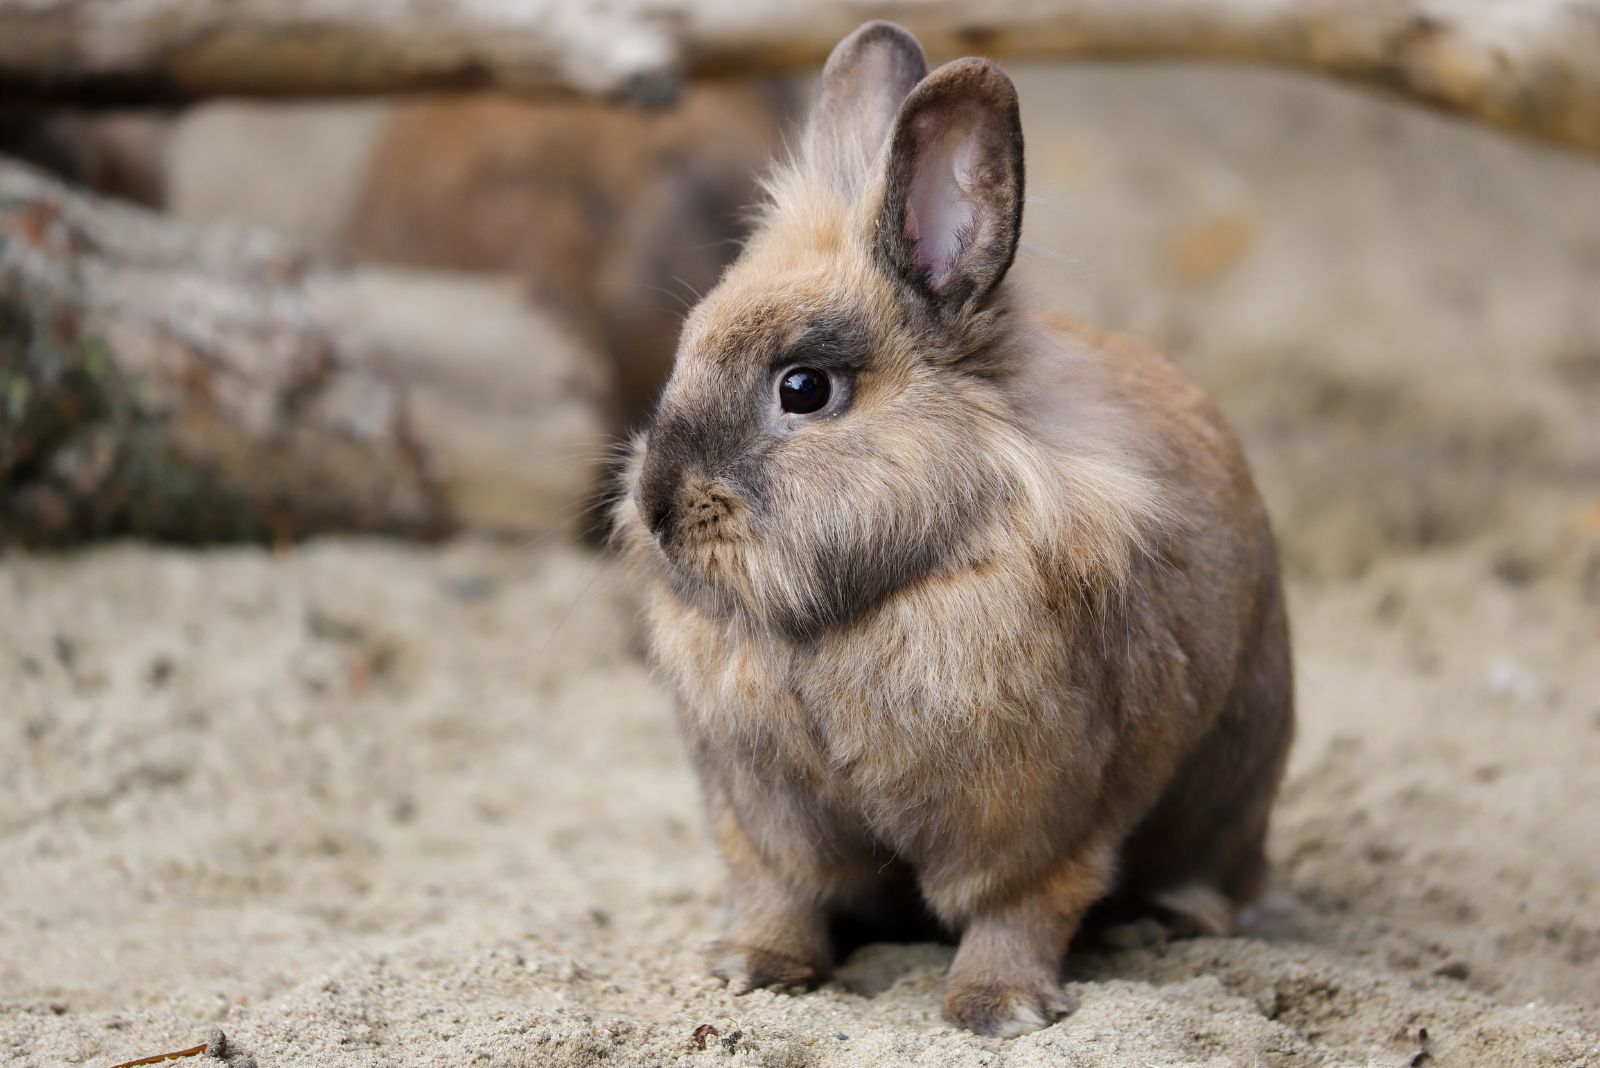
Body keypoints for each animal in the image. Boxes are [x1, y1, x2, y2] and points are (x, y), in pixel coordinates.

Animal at [604, 22, 1292, 1042]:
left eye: (803, 388)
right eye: (686, 346)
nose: (656, 505)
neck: (848, 613)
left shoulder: (1038, 816)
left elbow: (1017, 909)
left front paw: (998, 1010)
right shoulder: (763, 814)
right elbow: (781, 893)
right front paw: (749, 968)